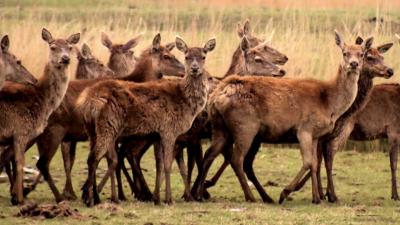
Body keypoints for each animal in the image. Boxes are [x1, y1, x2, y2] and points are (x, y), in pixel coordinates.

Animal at [0, 27, 79, 204]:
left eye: (70, 47)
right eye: (53, 47)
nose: (65, 59)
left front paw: (17, 195)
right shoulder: (20, 130)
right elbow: (20, 163)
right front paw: (20, 199)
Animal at [77, 36, 216, 207]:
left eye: (203, 56)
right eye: (187, 56)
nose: (194, 69)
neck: (187, 104)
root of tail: (87, 101)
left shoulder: (156, 135)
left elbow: (160, 165)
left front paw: (157, 198)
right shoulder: (169, 130)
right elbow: (168, 164)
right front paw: (168, 199)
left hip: (92, 130)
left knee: (105, 159)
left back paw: (98, 196)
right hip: (107, 126)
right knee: (94, 158)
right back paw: (92, 199)